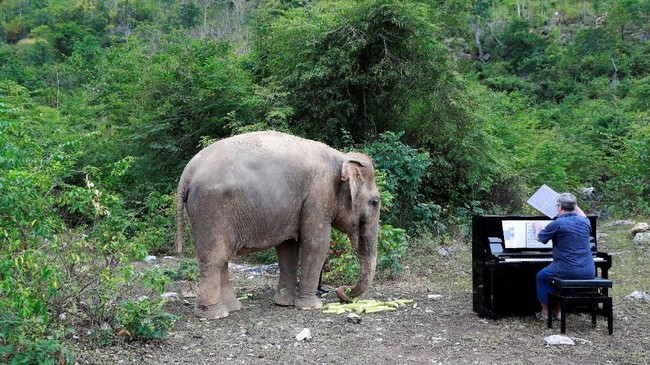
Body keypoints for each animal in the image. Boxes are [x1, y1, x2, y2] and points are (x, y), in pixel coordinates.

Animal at [175, 131, 382, 318]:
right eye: (375, 202)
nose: (344, 294)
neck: (342, 158)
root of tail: (187, 173)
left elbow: (287, 247)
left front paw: (284, 303)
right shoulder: (318, 194)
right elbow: (317, 244)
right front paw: (311, 306)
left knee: (222, 258)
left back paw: (232, 308)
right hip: (211, 208)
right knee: (214, 258)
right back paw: (215, 314)